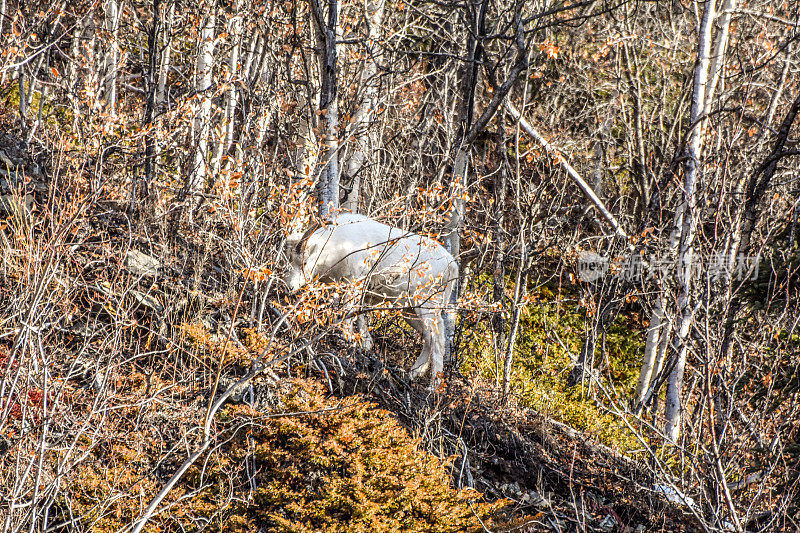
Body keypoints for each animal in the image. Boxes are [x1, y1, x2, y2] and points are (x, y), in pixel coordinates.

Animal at [284, 212, 456, 382]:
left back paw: (433, 386)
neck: (337, 247)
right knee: (428, 337)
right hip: (409, 310)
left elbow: (347, 313)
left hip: (427, 305)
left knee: (438, 340)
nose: (289, 287)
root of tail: (451, 265)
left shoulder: (355, 281)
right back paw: (412, 374)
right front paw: (366, 343)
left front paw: (347, 340)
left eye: (304, 262)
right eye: (289, 261)